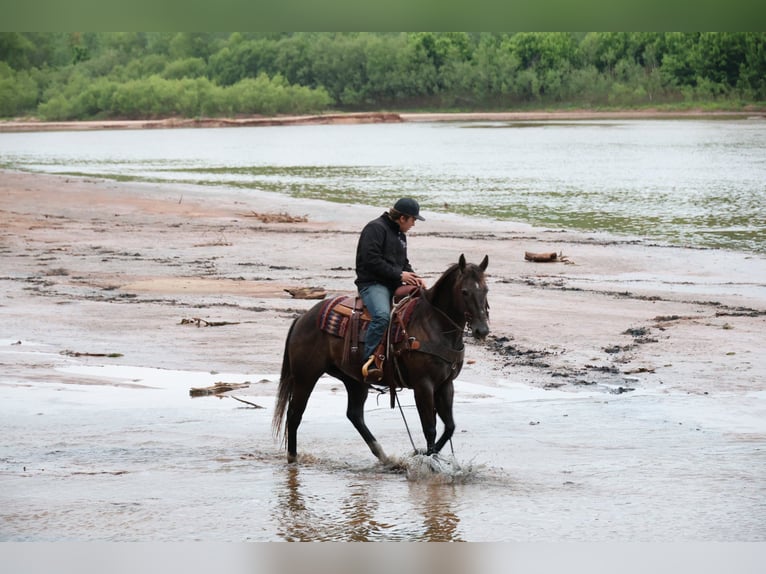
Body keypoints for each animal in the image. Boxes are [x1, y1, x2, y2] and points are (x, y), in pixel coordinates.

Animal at [272, 254, 490, 464]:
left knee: (355, 415)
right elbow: (430, 428)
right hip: (305, 376)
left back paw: (383, 456)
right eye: (464, 291)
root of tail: (303, 318)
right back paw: (292, 458)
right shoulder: (423, 385)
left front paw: (425, 454)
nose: (482, 330)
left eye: (486, 290)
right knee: (295, 414)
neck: (433, 325)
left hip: (353, 379)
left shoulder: (445, 384)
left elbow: (450, 427)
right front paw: (429, 461)